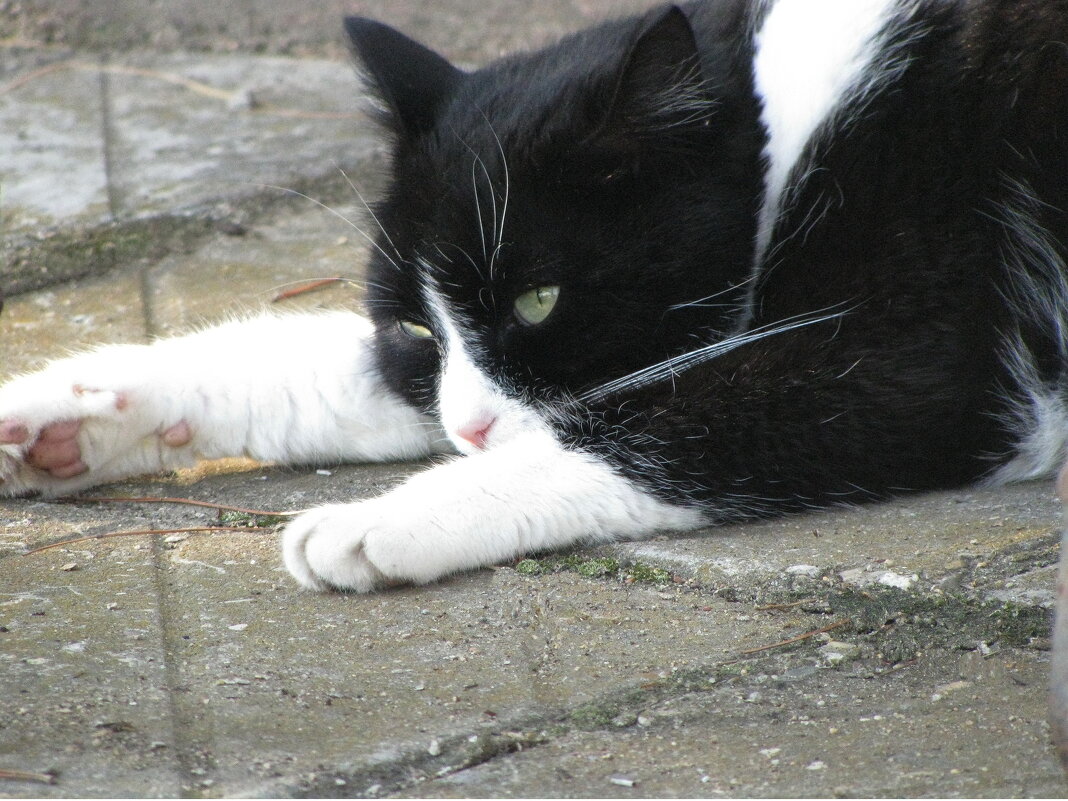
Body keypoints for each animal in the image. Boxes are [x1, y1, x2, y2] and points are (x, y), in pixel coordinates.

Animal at [2, 0, 1068, 589]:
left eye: (540, 302)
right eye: (414, 326)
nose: (470, 430)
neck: (796, 141)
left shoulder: (932, 352)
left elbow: (665, 415)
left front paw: (376, 520)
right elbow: (315, 365)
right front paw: (66, 417)